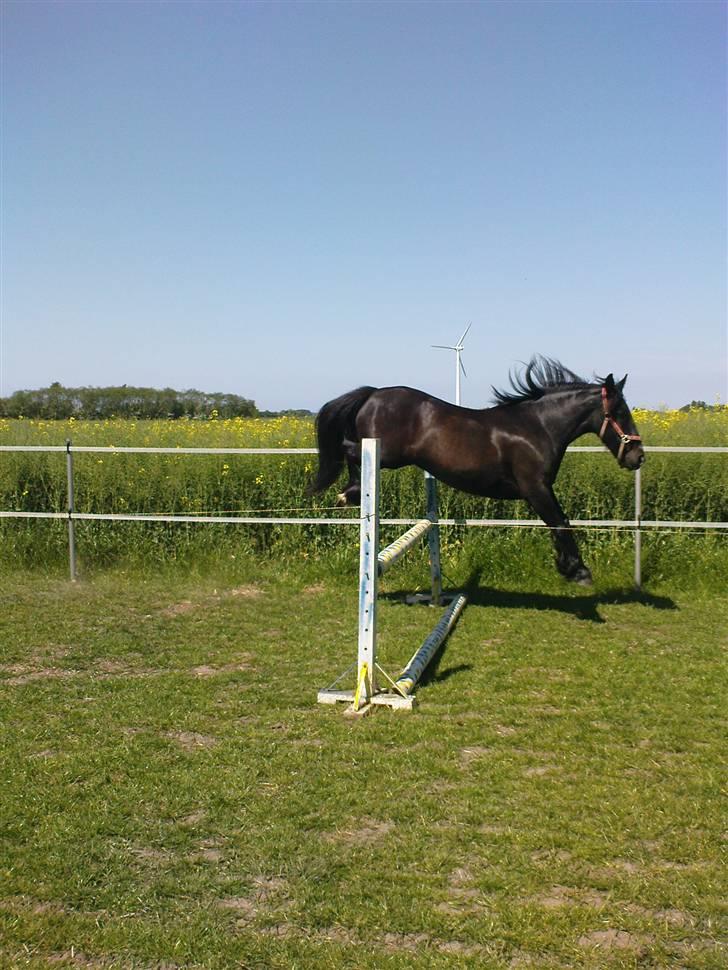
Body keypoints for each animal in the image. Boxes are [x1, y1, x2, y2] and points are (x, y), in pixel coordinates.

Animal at [306, 357, 645, 585]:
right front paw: (578, 571)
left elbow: (560, 523)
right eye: (619, 412)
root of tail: (374, 393)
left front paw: (566, 565)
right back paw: (348, 493)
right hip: (386, 454)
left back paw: (348, 494)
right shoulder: (535, 488)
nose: (638, 457)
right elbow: (561, 523)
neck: (537, 427)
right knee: (348, 448)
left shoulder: (540, 490)